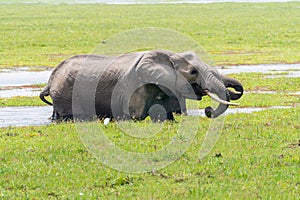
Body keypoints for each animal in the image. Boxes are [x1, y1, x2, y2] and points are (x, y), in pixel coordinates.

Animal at [39, 50, 243, 122]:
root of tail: (50, 82)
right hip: (65, 94)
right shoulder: (135, 87)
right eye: (193, 72)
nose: (208, 111)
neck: (168, 55)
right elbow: (134, 116)